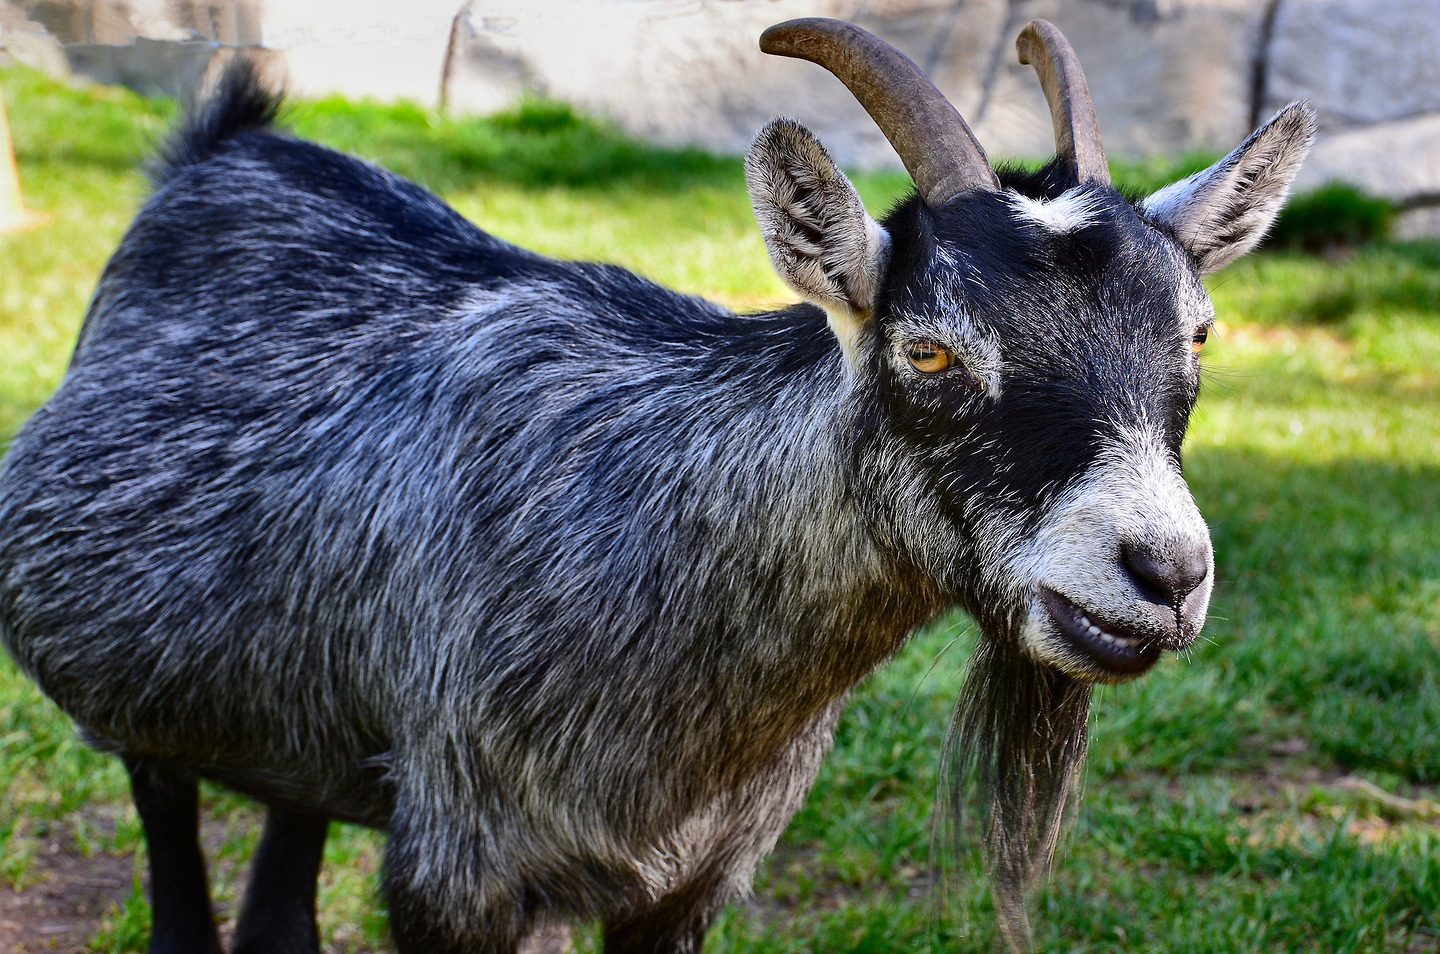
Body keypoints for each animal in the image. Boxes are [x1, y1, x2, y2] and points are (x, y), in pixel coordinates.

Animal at [0, 17, 1314, 953]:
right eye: (931, 352)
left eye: (1198, 333)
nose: (1163, 572)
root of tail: (224, 145)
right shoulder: (456, 871)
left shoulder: (686, 885)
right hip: (150, 704)